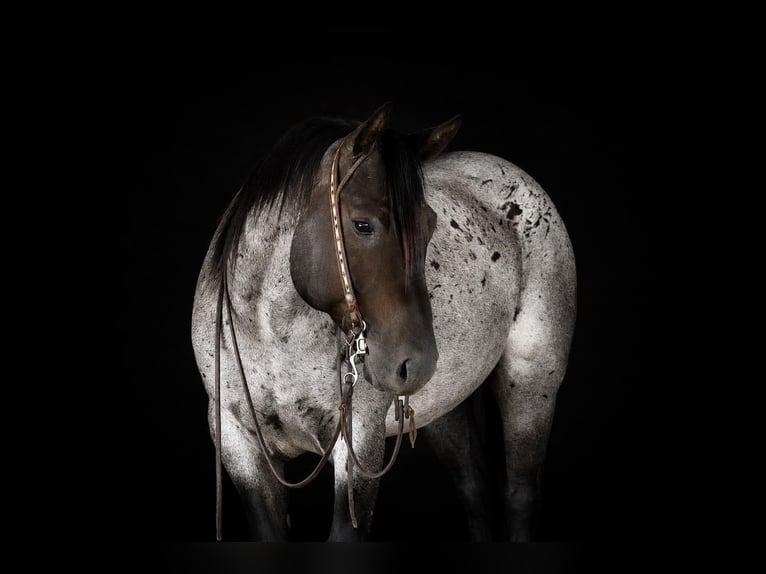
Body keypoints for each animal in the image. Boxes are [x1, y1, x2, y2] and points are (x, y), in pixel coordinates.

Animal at [191, 103, 576, 541]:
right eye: (363, 225)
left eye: (429, 225)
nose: (416, 363)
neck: (272, 335)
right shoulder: (239, 446)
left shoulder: (358, 442)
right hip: (444, 409)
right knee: (475, 489)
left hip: (531, 384)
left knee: (520, 495)